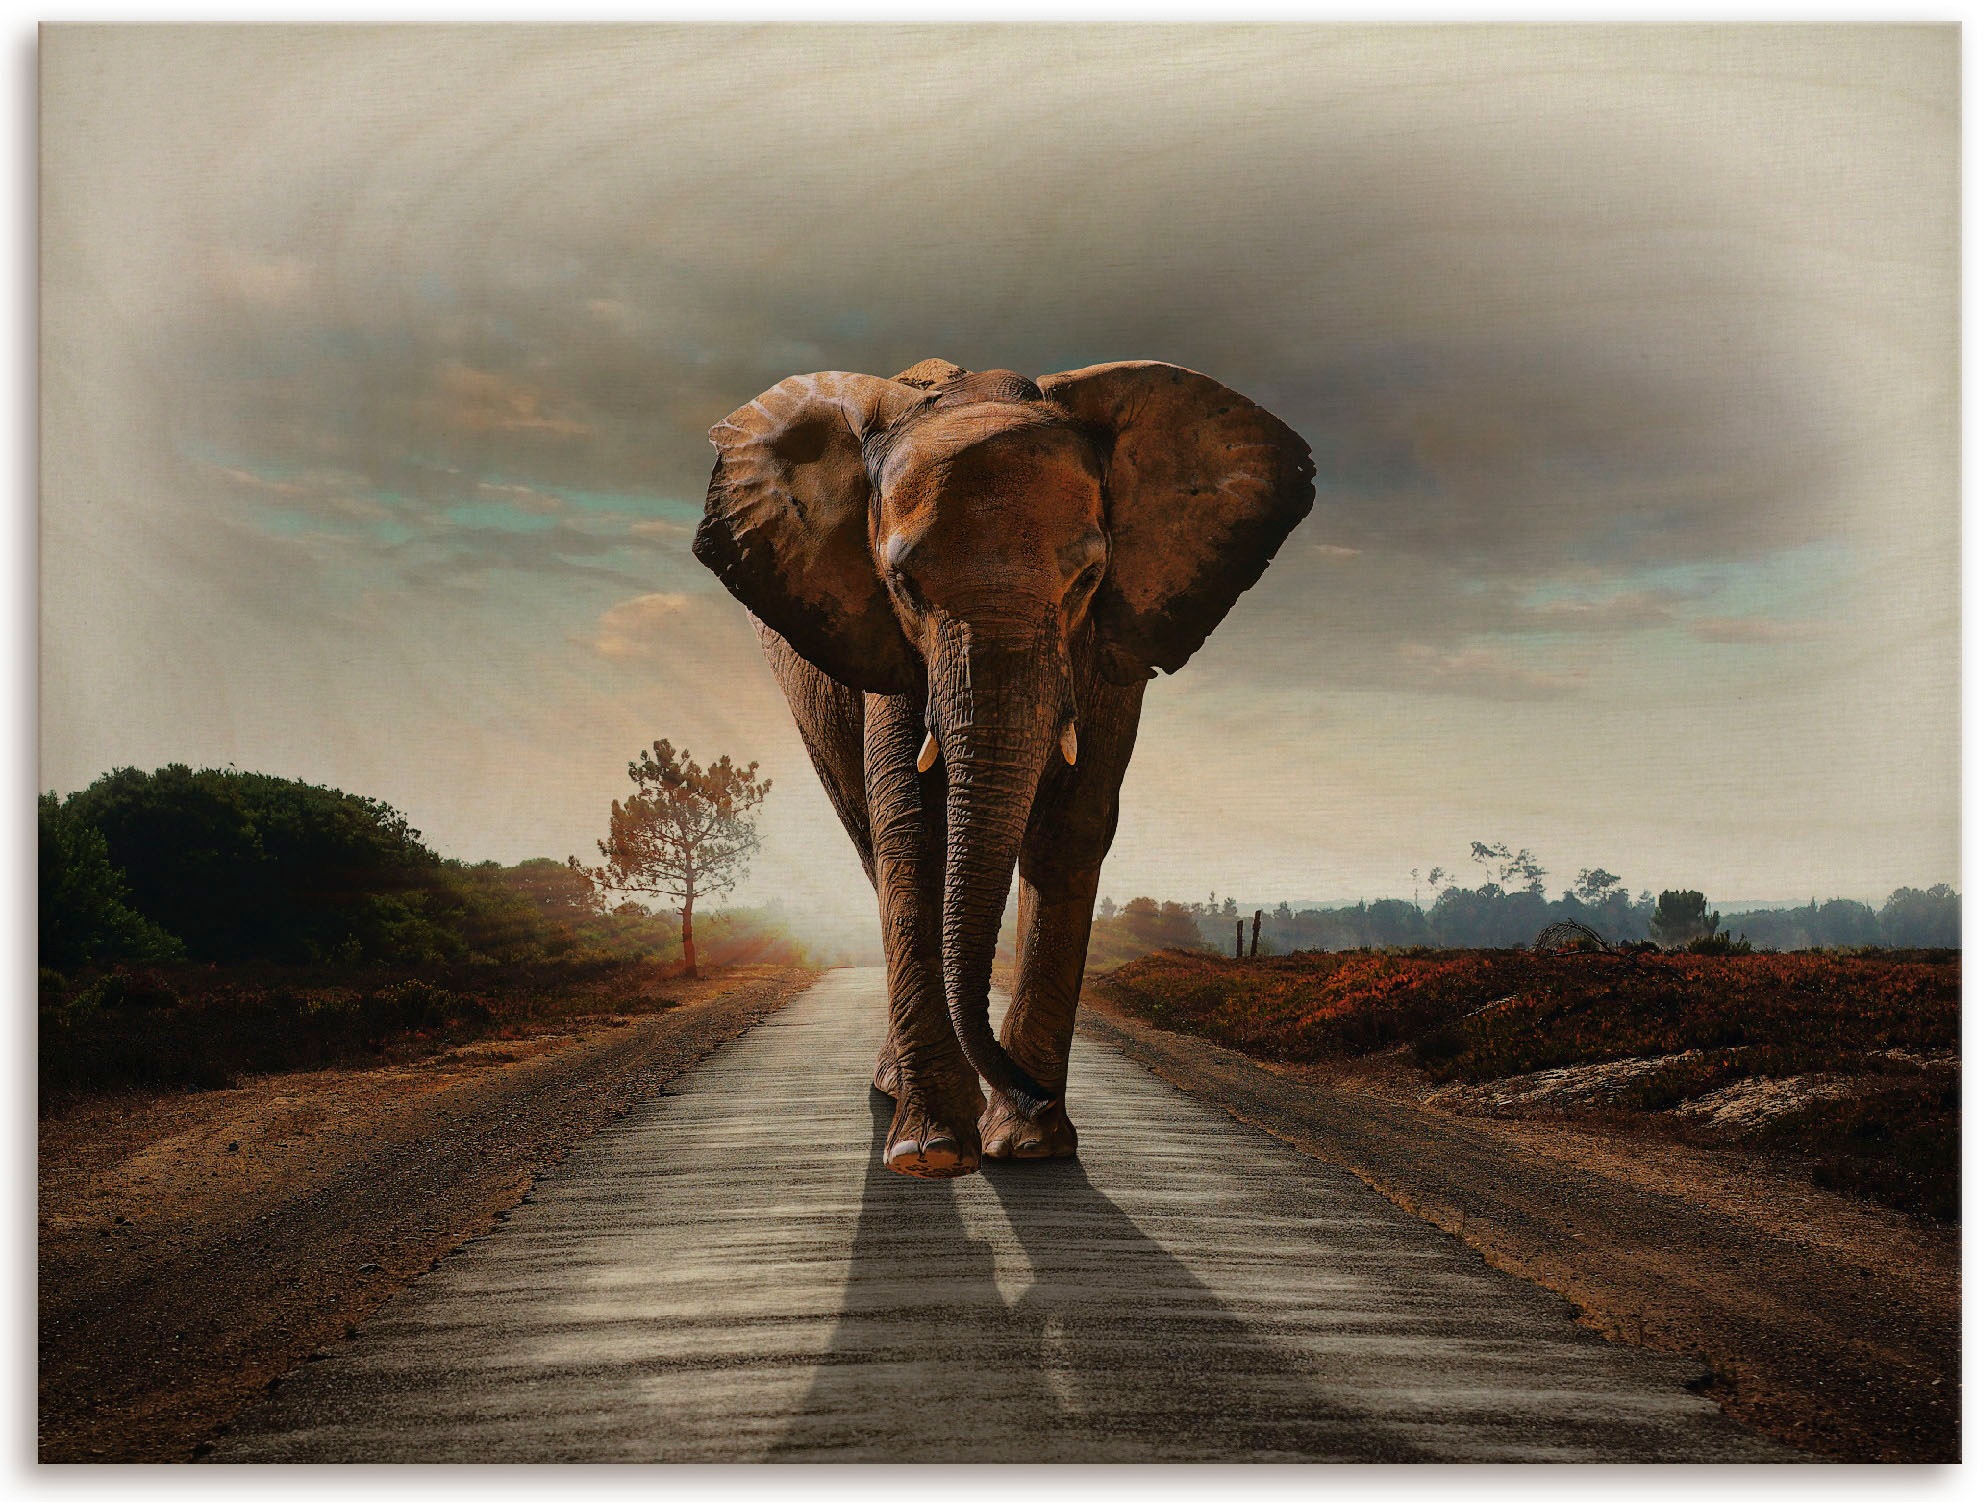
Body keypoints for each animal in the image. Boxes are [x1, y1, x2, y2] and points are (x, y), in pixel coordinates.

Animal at [693, 357, 1314, 1179]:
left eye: (1087, 579)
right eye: (903, 586)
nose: (1028, 1091)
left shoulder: (1112, 642)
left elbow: (1071, 827)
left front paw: (1029, 1145)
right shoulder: (888, 646)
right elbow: (914, 828)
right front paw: (931, 1153)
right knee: (869, 840)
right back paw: (899, 1095)